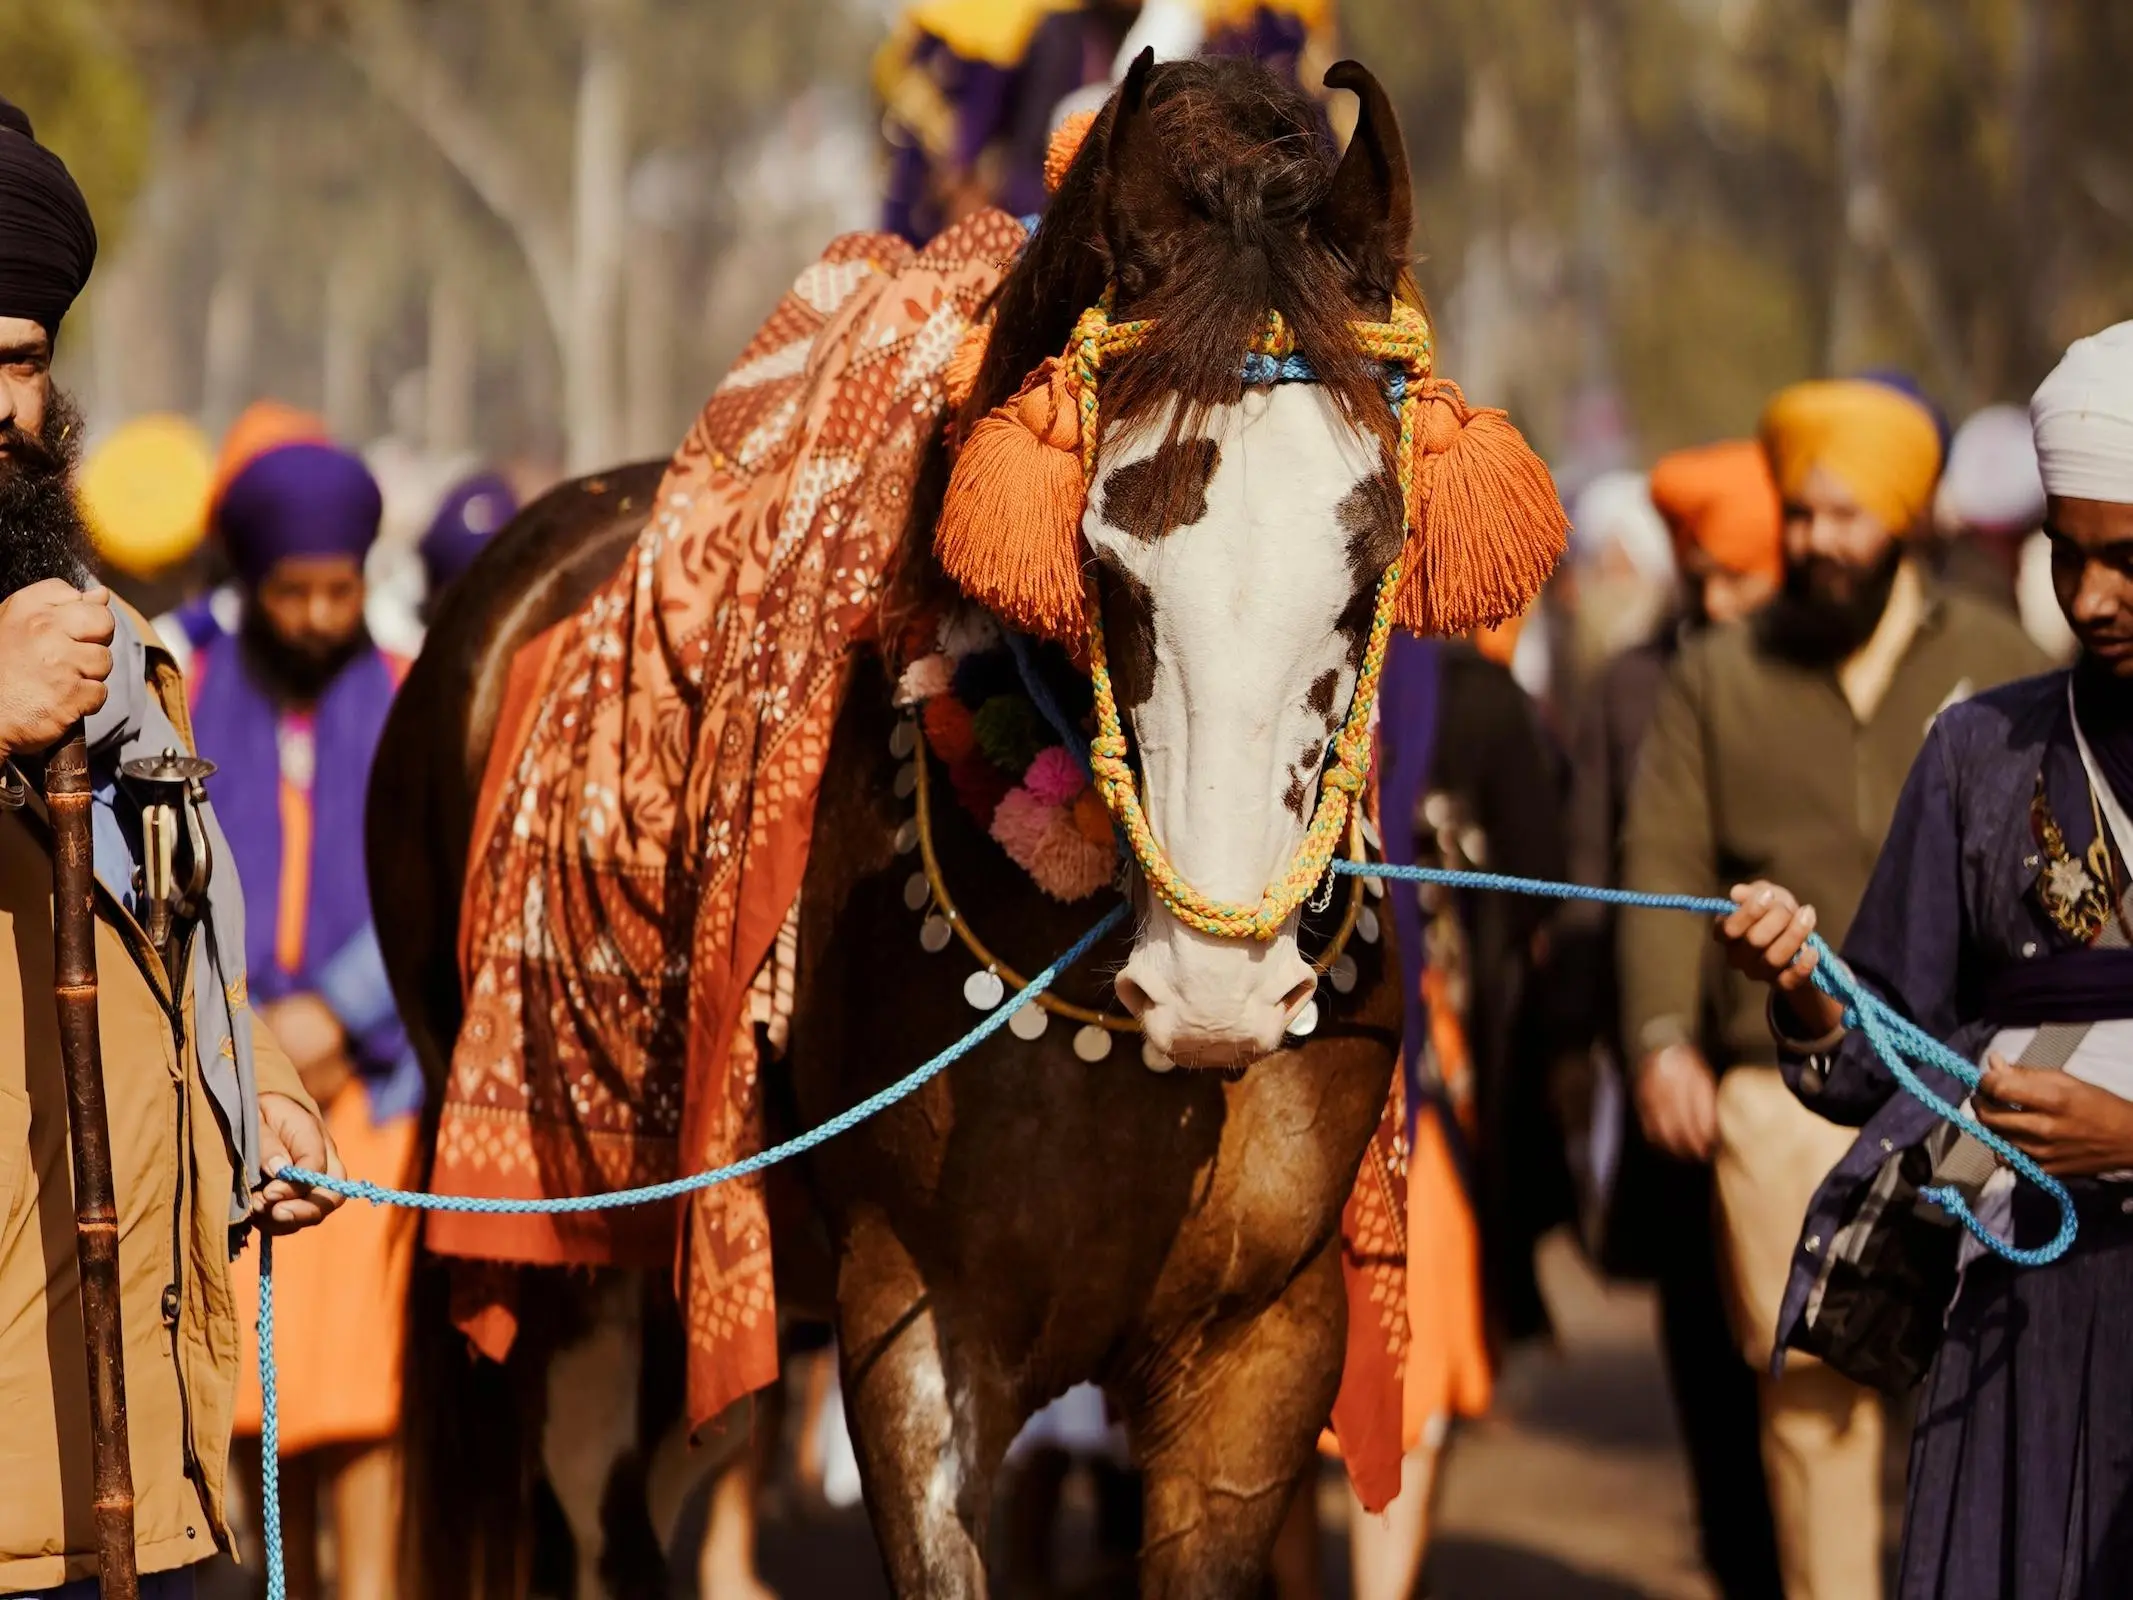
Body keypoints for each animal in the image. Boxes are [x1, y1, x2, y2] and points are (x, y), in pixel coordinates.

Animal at [375, 56, 1424, 1595]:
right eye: (1104, 557)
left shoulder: (1266, 1348)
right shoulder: (914, 1317)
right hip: (567, 1272)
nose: (1215, 984)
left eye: (1372, 546)